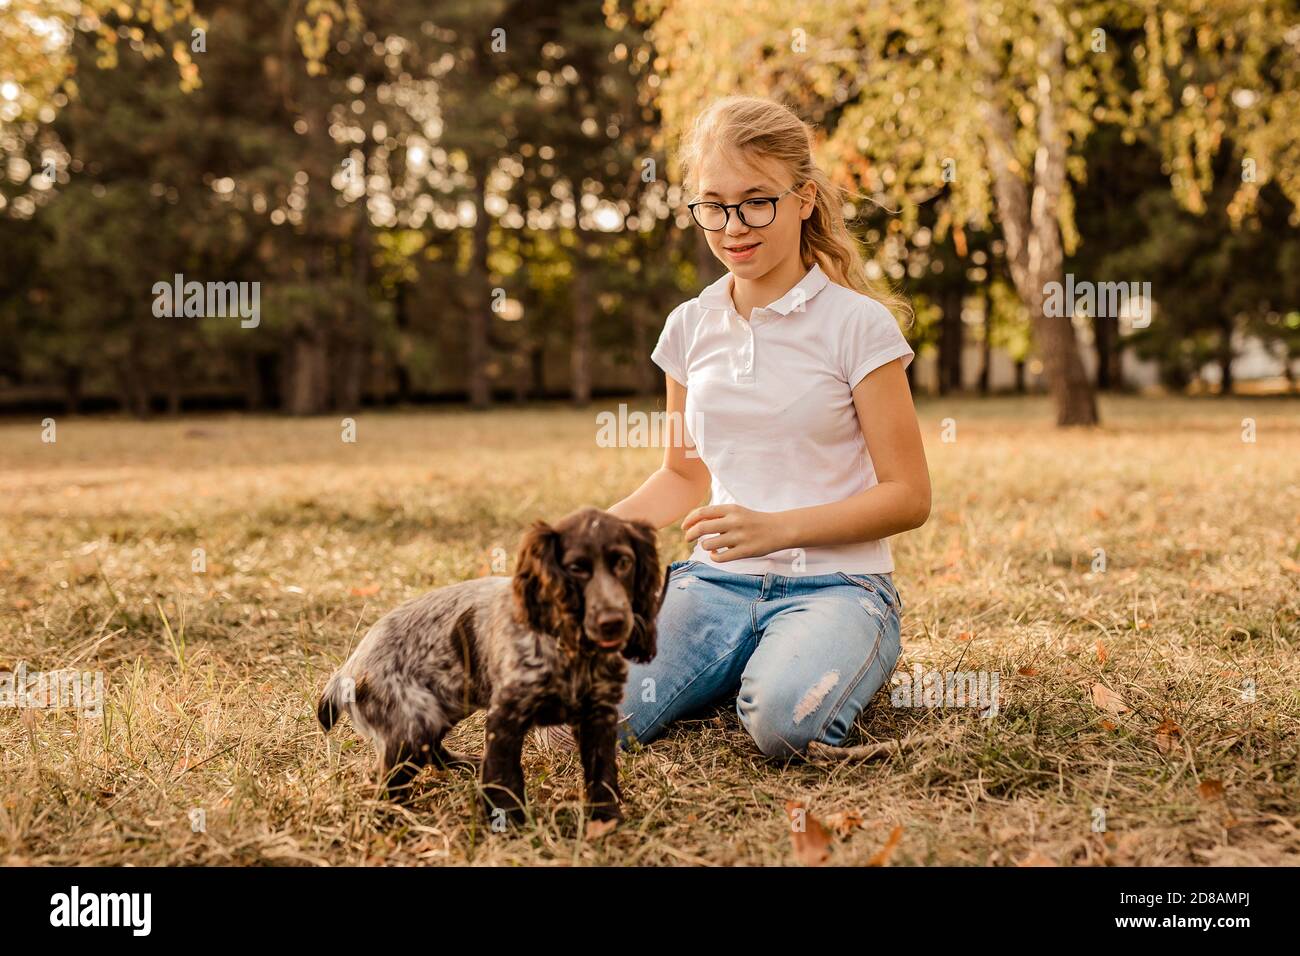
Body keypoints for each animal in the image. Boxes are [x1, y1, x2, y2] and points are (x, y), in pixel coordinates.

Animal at [313, 504, 660, 827]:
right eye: (576, 568)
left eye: (624, 563)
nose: (613, 623)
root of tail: (346, 672)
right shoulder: (506, 715)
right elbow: (504, 775)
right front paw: (510, 823)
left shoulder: (598, 714)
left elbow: (602, 773)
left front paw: (606, 820)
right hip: (411, 725)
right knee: (384, 781)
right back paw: (396, 815)